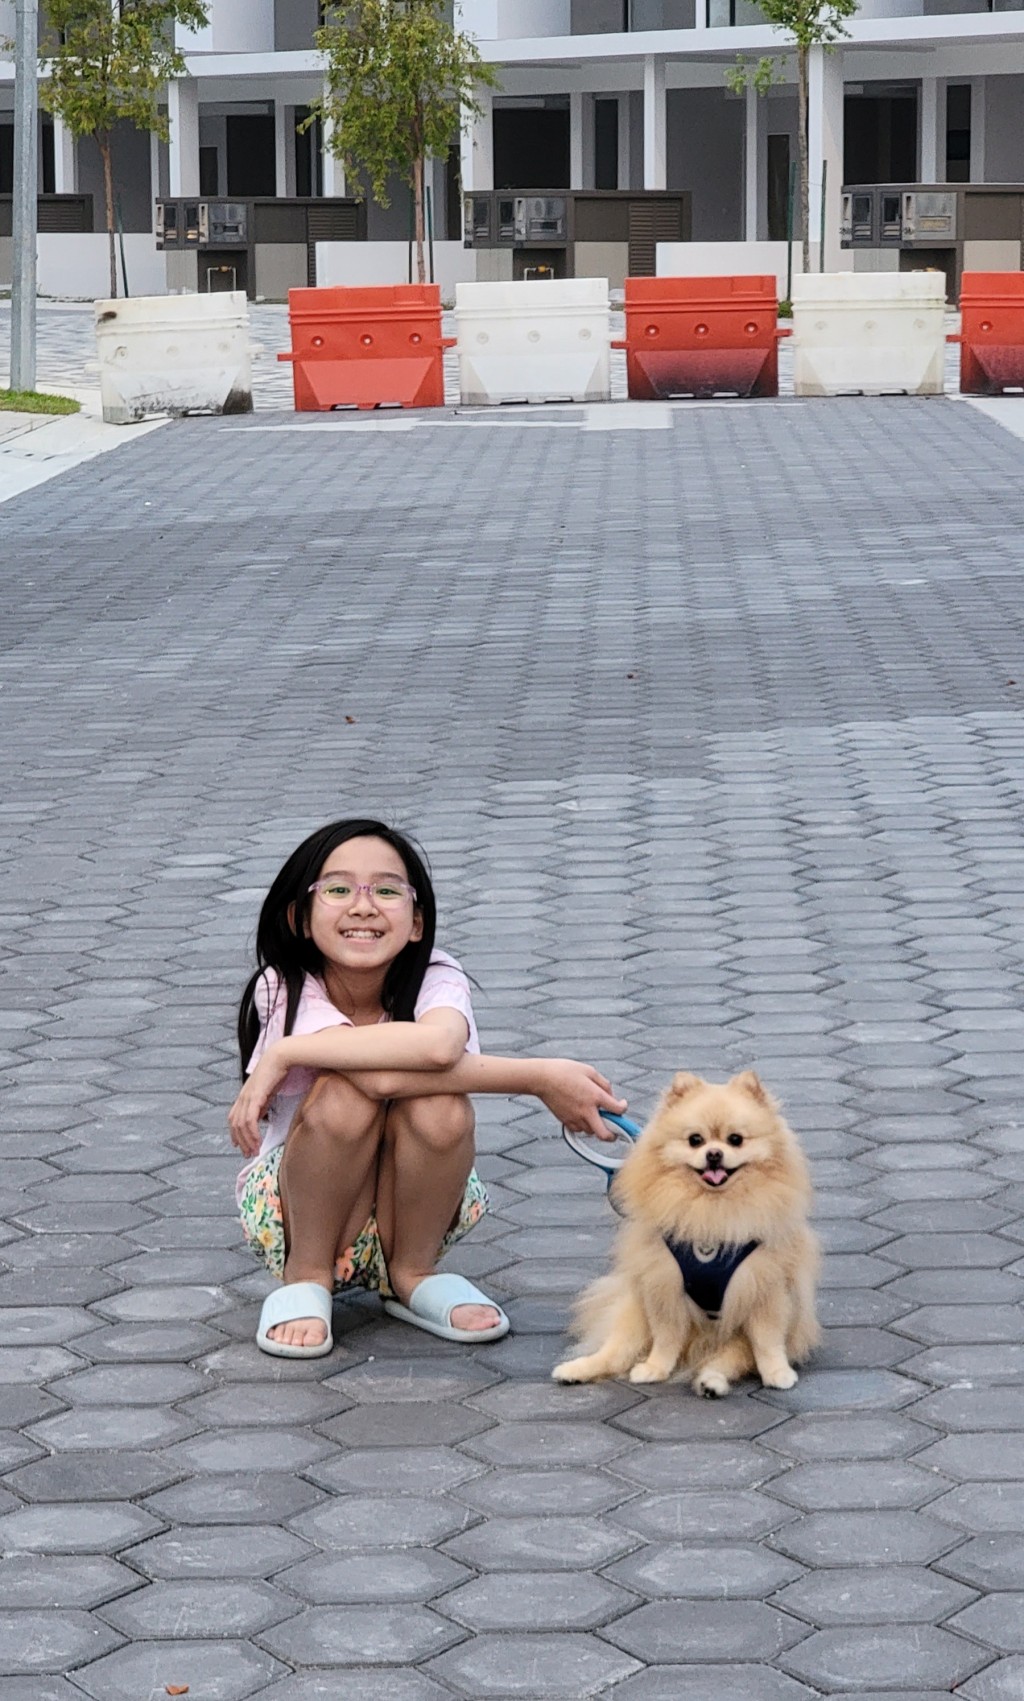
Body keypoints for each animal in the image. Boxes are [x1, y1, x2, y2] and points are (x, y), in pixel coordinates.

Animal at [551, 1075, 819, 1394]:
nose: (714, 1154)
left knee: (727, 1359)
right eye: (695, 1140)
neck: (711, 1210)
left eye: (735, 1139)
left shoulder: (766, 1289)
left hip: (734, 1338)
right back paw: (576, 1369)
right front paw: (655, 1368)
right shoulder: (665, 1286)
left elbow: (767, 1341)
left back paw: (711, 1381)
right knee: (617, 1352)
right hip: (633, 1316)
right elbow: (666, 1338)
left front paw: (777, 1372)